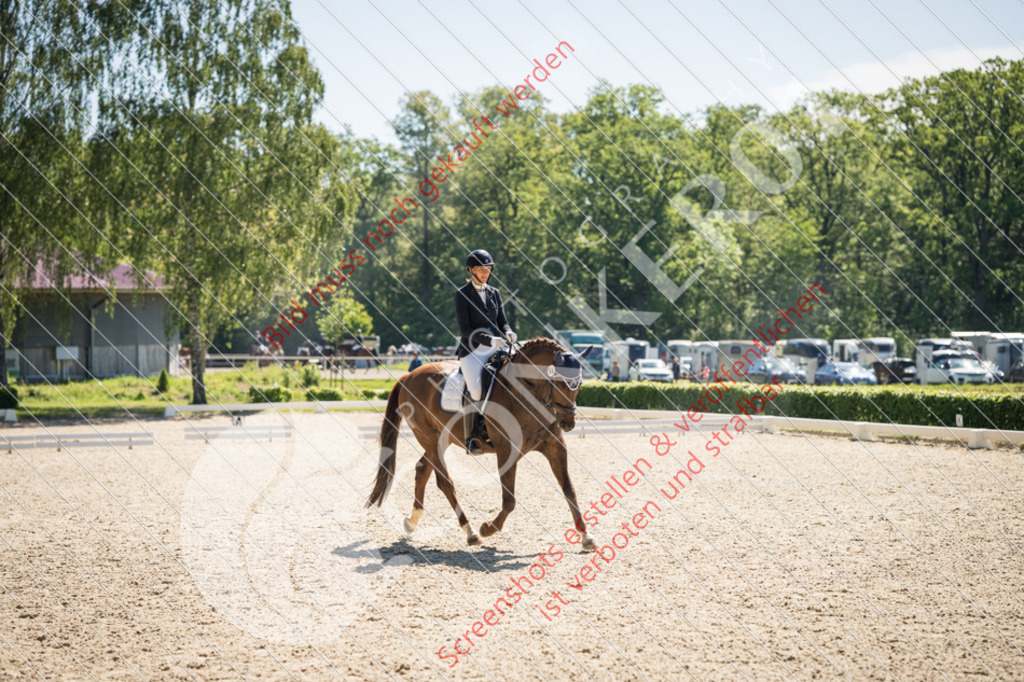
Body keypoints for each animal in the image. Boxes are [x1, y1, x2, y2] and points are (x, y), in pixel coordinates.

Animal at [366, 335, 598, 548]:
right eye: (558, 383)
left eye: (579, 385)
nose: (568, 423)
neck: (525, 391)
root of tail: (408, 376)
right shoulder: (506, 450)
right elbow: (509, 500)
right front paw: (488, 528)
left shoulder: (554, 445)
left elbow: (569, 489)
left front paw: (586, 536)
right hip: (429, 438)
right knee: (445, 482)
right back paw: (470, 532)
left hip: (442, 439)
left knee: (422, 468)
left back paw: (411, 522)